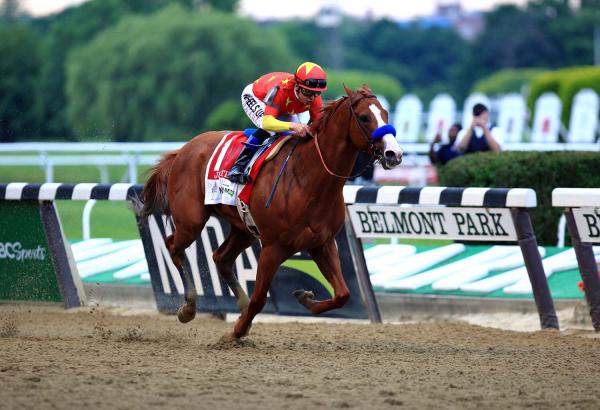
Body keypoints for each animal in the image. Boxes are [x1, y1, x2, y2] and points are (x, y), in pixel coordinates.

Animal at [141, 85, 404, 338]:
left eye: (385, 114)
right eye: (364, 117)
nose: (394, 154)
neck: (307, 178)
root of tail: (184, 149)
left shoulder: (323, 242)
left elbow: (343, 294)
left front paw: (304, 298)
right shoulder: (272, 248)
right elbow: (260, 299)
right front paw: (236, 332)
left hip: (244, 228)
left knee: (221, 258)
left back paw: (239, 304)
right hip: (191, 221)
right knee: (172, 245)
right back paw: (189, 307)